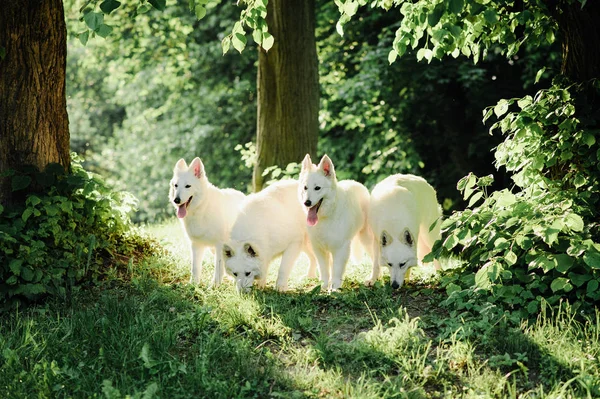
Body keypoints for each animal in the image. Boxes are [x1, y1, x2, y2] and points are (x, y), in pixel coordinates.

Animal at [168, 158, 245, 286]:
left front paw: (214, 286)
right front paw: (193, 285)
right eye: (176, 186)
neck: (201, 209)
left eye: (188, 186)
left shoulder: (220, 245)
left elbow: (218, 268)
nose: (176, 200)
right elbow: (195, 268)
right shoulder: (196, 245)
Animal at [298, 155, 372, 292]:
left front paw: (334, 289)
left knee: (376, 260)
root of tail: (356, 182)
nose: (307, 202)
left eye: (317, 188)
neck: (326, 216)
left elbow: (337, 270)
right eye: (305, 188)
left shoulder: (340, 249)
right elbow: (324, 271)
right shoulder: (319, 250)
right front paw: (323, 287)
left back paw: (372, 278)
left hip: (367, 239)